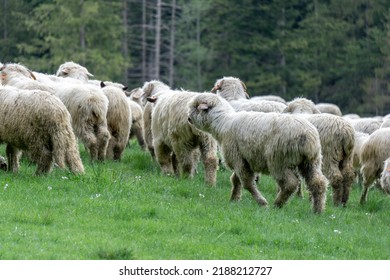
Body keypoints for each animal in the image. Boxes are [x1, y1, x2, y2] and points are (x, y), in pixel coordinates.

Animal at [187, 93, 328, 213]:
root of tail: (307, 136)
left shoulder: (237, 158)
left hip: (278, 161)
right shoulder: (242, 159)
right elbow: (236, 180)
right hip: (311, 161)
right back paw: (318, 210)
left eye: (195, 107)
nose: (188, 118)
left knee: (290, 183)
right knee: (318, 183)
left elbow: (247, 183)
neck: (223, 122)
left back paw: (278, 204)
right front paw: (234, 199)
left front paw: (262, 202)